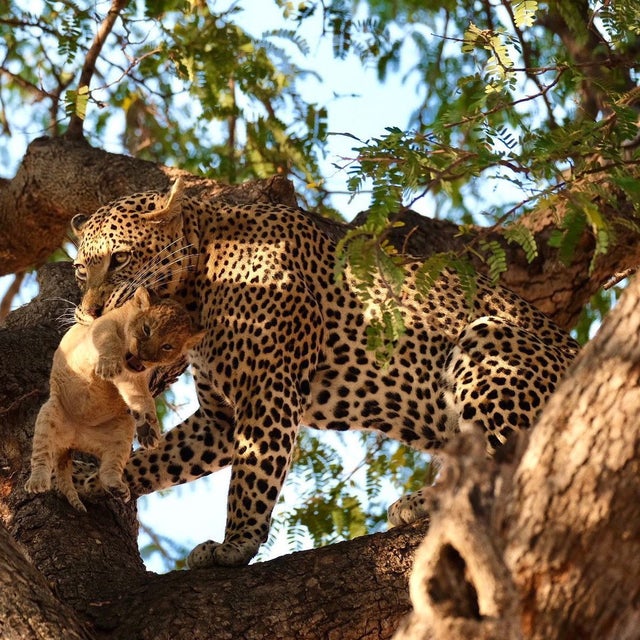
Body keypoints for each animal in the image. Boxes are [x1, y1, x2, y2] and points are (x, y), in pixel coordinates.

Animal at [25, 284, 202, 510]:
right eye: (147, 329)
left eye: (168, 346)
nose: (144, 357)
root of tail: (75, 438)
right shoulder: (102, 327)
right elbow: (109, 341)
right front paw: (109, 366)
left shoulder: (135, 379)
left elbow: (141, 397)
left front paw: (150, 428)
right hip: (50, 414)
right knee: (41, 454)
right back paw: (37, 481)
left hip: (123, 430)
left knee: (109, 467)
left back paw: (117, 486)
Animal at [70, 178, 580, 568]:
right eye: (79, 271)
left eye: (120, 258)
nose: (88, 312)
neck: (195, 285)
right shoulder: (221, 419)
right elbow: (163, 459)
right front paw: (92, 480)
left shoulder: (267, 389)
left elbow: (252, 476)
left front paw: (236, 544)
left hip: (487, 338)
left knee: (509, 466)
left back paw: (422, 501)